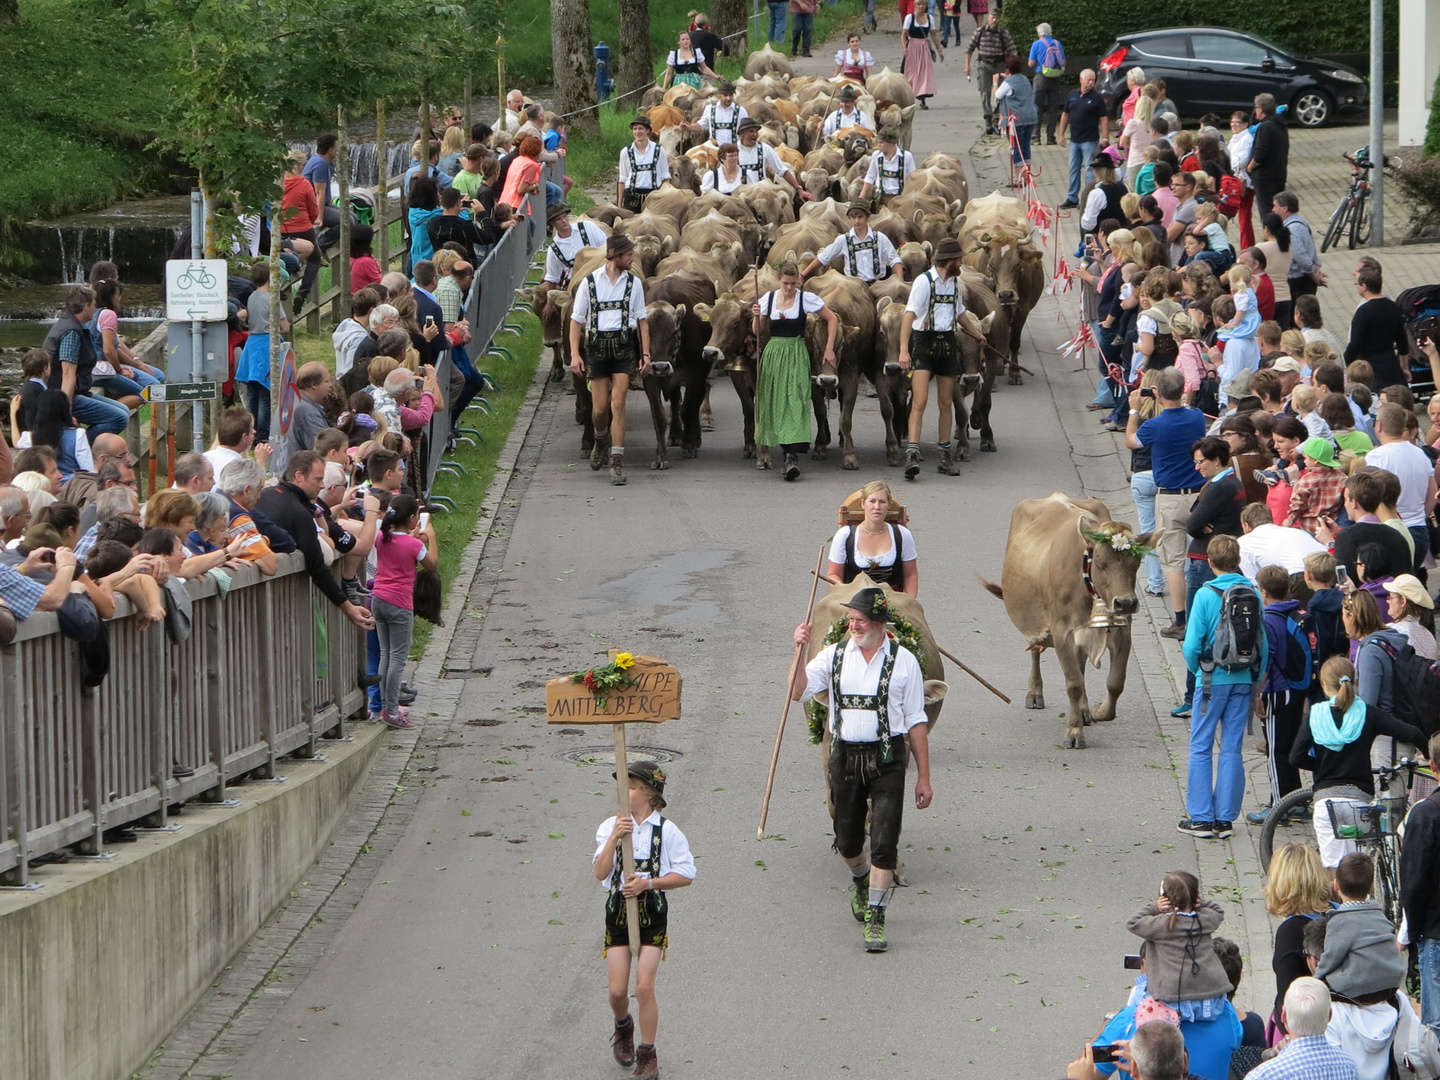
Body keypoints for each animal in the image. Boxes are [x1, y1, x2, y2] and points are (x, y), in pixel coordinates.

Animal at [979, 495, 1157, 748]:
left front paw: (1098, 711)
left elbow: (1115, 682)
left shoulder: (1122, 630)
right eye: (1099, 562)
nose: (1126, 602)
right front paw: (1074, 731)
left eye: (1136, 563)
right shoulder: (1062, 631)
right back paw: (1035, 693)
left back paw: (1083, 710)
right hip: (1033, 618)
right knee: (1036, 650)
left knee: (1081, 665)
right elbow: (1073, 683)